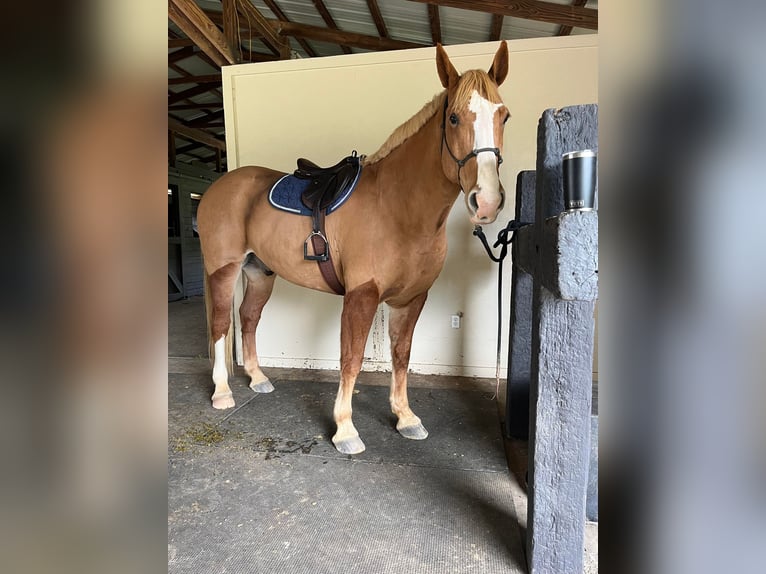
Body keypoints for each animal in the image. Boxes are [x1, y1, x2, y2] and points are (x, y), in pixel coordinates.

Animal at [198, 40, 510, 456]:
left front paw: (405, 418)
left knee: (248, 319)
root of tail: (218, 187)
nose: (486, 202)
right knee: (220, 325)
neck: (396, 208)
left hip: (260, 272)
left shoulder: (411, 298)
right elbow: (352, 358)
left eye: (504, 115)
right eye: (455, 118)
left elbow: (401, 354)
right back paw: (221, 392)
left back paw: (258, 378)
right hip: (224, 269)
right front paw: (345, 430)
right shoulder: (361, 296)